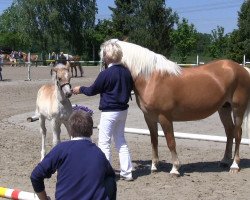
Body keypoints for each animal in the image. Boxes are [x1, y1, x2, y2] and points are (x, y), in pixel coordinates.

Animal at [100, 38, 250, 175]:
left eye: (103, 60)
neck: (151, 79)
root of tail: (241, 68)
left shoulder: (165, 118)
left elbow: (170, 141)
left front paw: (175, 168)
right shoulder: (149, 118)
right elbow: (154, 140)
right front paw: (154, 166)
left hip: (238, 109)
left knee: (237, 133)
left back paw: (234, 165)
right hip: (224, 108)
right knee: (229, 132)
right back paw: (224, 161)